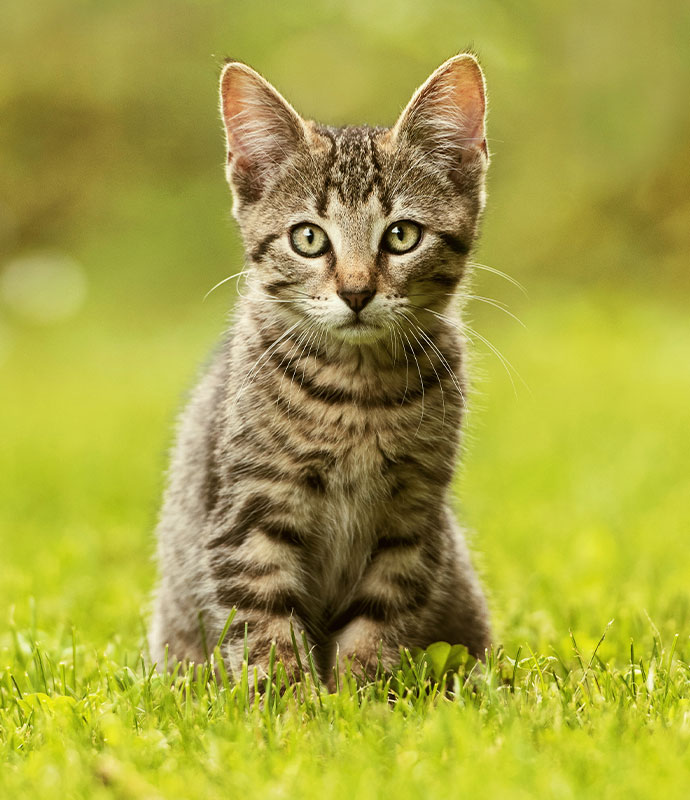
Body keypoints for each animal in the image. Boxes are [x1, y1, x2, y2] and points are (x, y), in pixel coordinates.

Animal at [146, 53, 490, 684]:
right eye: (308, 237)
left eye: (402, 235)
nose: (356, 292)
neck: (357, 392)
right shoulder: (249, 513)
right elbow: (264, 625)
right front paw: (290, 700)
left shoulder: (412, 516)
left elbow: (379, 620)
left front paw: (361, 696)